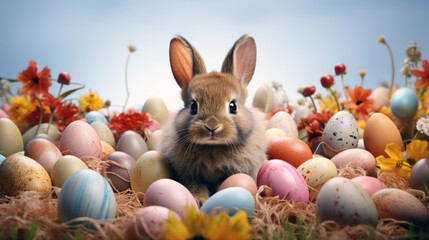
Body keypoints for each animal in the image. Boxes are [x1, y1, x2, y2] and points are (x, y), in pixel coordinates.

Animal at [157, 34, 268, 204]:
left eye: (233, 106)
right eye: (193, 106)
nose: (212, 127)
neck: (212, 147)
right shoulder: (190, 175)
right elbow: (196, 186)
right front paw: (199, 201)